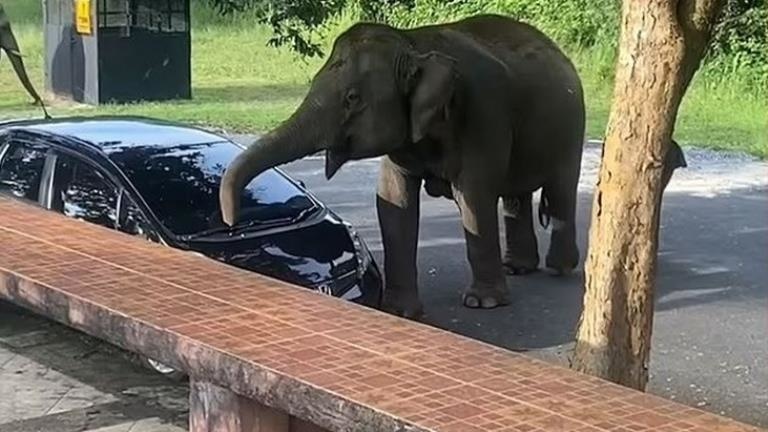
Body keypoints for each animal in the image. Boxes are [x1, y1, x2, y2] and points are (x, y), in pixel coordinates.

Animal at [219, 14, 588, 318]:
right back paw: (517, 267)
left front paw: (484, 303)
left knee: (560, 189)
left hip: (572, 127)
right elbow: (393, 200)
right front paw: (399, 311)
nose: (231, 220)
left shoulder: (484, 114)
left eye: (352, 98)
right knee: (516, 196)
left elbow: (475, 196)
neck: (415, 44)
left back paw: (560, 268)